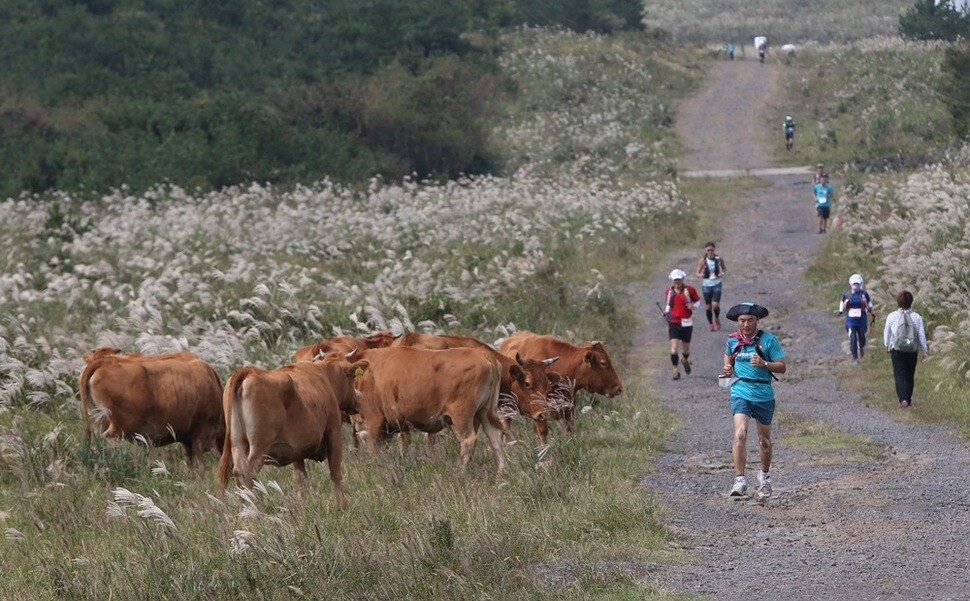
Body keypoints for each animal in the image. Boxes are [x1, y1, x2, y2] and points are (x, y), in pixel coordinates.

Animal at [216, 352, 366, 506]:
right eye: (352, 376)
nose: (358, 399)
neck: (325, 375)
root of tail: (249, 371)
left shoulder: (296, 450)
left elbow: (301, 479)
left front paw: (302, 506)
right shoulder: (333, 432)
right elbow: (335, 473)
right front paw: (342, 505)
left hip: (237, 442)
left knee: (238, 472)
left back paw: (244, 507)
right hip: (259, 445)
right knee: (248, 472)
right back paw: (254, 508)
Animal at [352, 346, 510, 474]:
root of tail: (483, 354)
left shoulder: (374, 421)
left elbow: (374, 450)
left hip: (462, 415)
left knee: (468, 440)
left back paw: (461, 473)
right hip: (485, 412)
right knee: (495, 439)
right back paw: (500, 475)